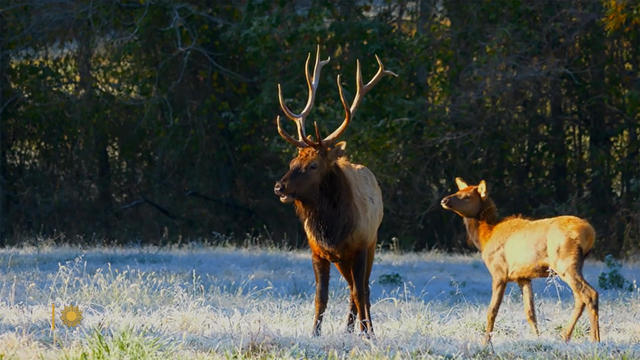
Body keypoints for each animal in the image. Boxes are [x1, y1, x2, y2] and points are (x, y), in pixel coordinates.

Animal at [272, 46, 396, 336]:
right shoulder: (318, 251)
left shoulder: (361, 246)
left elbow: (362, 292)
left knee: (361, 289)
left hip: (372, 242)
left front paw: (369, 333)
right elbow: (321, 296)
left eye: (313, 165)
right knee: (352, 288)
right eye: (292, 162)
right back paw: (349, 328)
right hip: (343, 259)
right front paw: (314, 333)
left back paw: (362, 327)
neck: (332, 229)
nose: (279, 187)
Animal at [442, 178, 596, 344]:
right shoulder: (523, 277)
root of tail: (591, 233)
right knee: (580, 298)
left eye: (467, 196)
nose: (444, 200)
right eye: (458, 191)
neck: (486, 237)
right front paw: (537, 338)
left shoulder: (499, 272)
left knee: (589, 294)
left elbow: (492, 311)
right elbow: (530, 312)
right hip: (574, 265)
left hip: (564, 263)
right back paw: (567, 336)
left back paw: (594, 339)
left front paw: (486, 342)